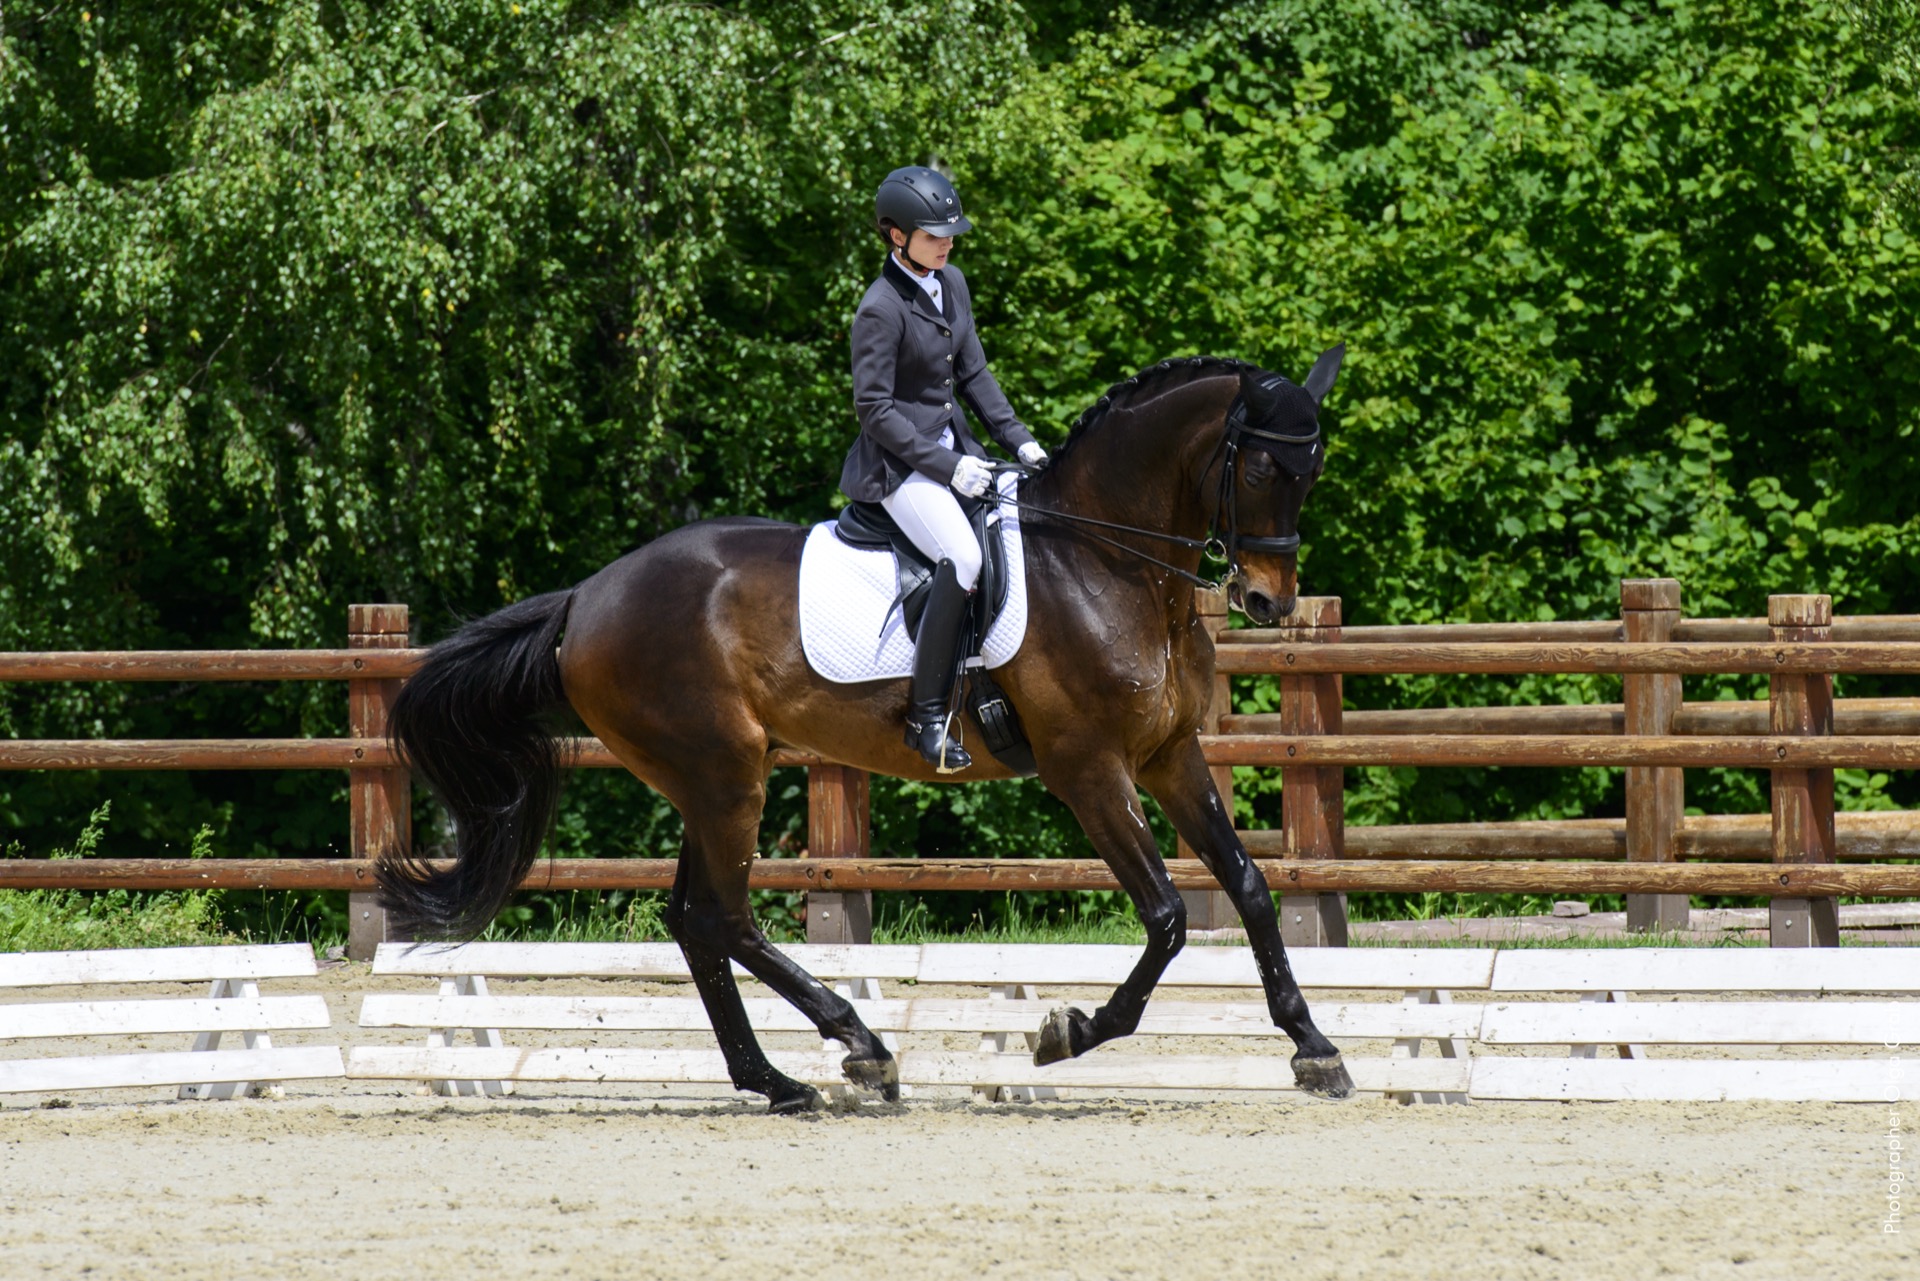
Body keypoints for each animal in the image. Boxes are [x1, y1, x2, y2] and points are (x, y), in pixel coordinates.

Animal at [379, 348, 1356, 1113]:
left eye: (1312, 473)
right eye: (1260, 472)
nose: (1268, 602)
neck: (1106, 562)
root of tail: (585, 597)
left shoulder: (1167, 755)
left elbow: (1249, 886)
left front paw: (1314, 1047)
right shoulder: (1087, 767)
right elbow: (1166, 916)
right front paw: (1068, 1030)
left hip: (714, 778)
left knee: (696, 920)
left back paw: (782, 1079)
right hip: (724, 775)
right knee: (724, 917)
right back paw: (858, 1047)